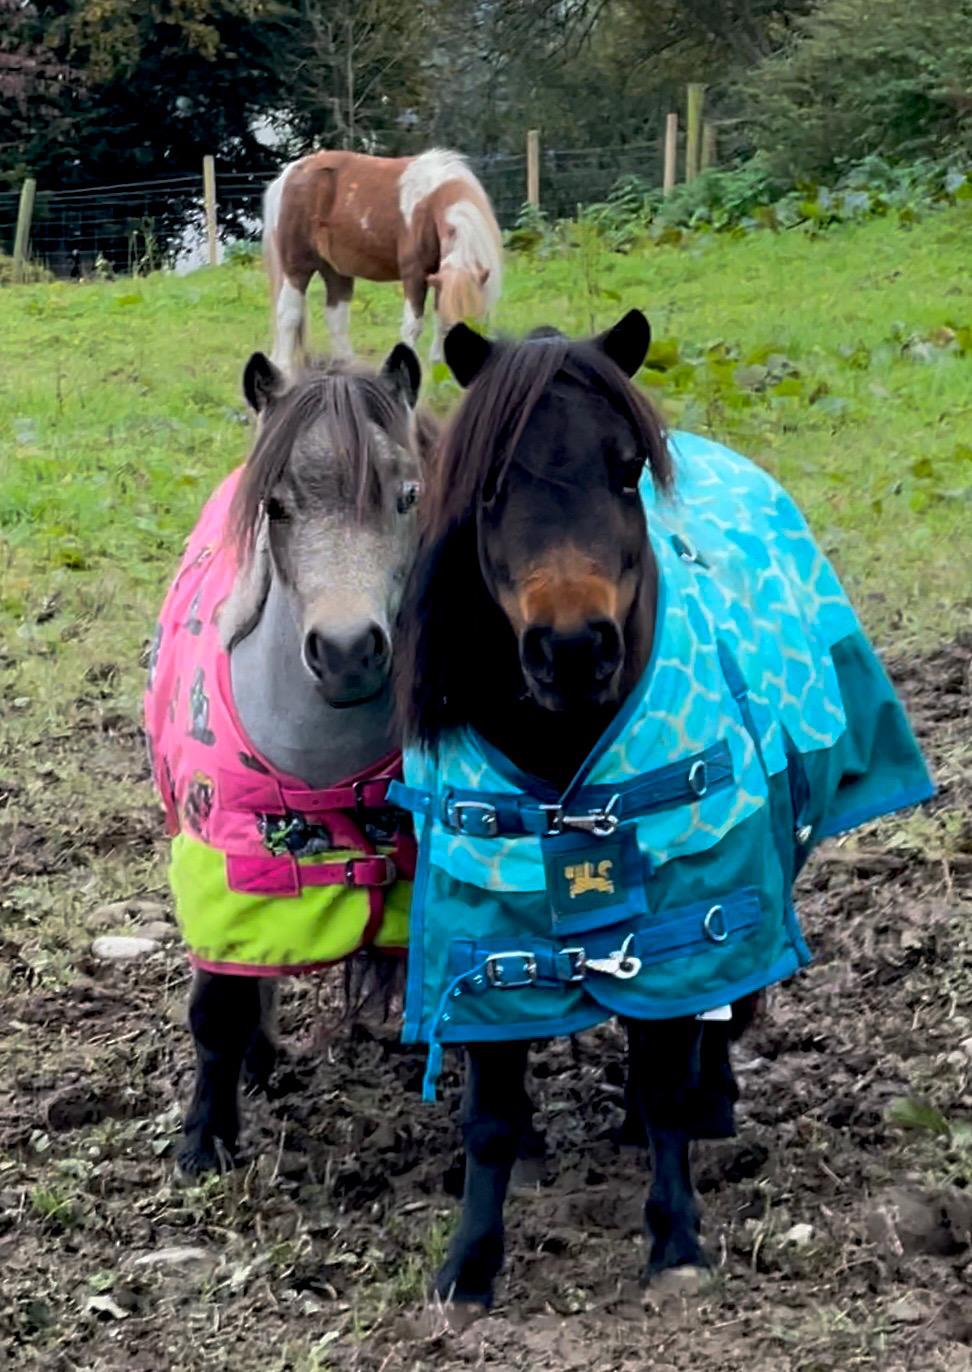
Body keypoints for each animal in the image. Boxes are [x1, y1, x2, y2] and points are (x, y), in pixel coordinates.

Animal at [143, 343, 433, 1175]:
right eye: (277, 506)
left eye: (407, 496)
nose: (347, 653)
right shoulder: (223, 858)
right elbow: (219, 1006)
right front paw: (205, 1141)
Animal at [263, 148, 502, 373]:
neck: (429, 203)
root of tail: (289, 174)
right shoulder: (415, 274)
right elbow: (413, 326)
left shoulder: (440, 277)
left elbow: (439, 320)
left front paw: (436, 365)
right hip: (296, 268)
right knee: (288, 314)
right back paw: (284, 368)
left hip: (335, 270)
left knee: (336, 317)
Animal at [391, 310, 933, 1314]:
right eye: (491, 485)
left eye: (623, 468)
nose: (573, 648)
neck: (565, 766)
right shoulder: (482, 937)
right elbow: (490, 1117)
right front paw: (470, 1267)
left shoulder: (692, 911)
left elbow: (666, 1073)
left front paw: (676, 1240)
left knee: (724, 1017)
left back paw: (711, 1104)